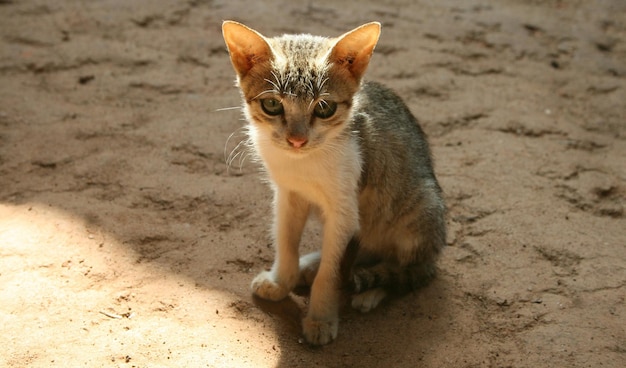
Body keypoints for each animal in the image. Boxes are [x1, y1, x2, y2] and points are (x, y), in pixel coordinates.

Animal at [219, 20, 444, 344]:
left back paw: (372, 291)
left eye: (324, 108)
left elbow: (332, 272)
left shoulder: (344, 210)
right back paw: (310, 265)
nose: (297, 140)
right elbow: (286, 242)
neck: (304, 163)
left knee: (412, 270)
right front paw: (281, 281)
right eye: (273, 104)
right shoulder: (288, 196)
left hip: (419, 211)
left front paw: (321, 319)